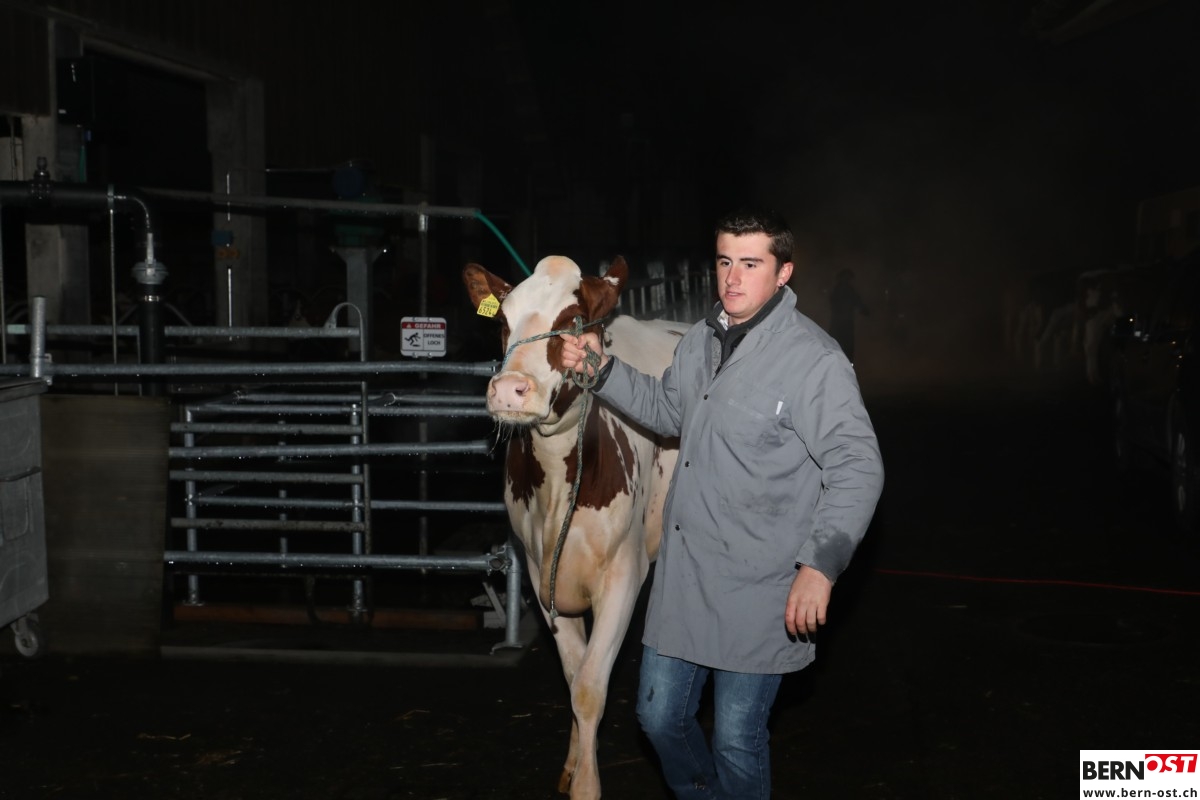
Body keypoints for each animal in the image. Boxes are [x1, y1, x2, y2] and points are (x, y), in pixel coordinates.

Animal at [463, 255, 687, 799]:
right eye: (503, 323)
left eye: (571, 322)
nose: (509, 390)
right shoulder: (542, 572)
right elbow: (573, 673)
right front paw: (572, 764)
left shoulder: (625, 575)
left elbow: (589, 686)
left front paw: (587, 784)